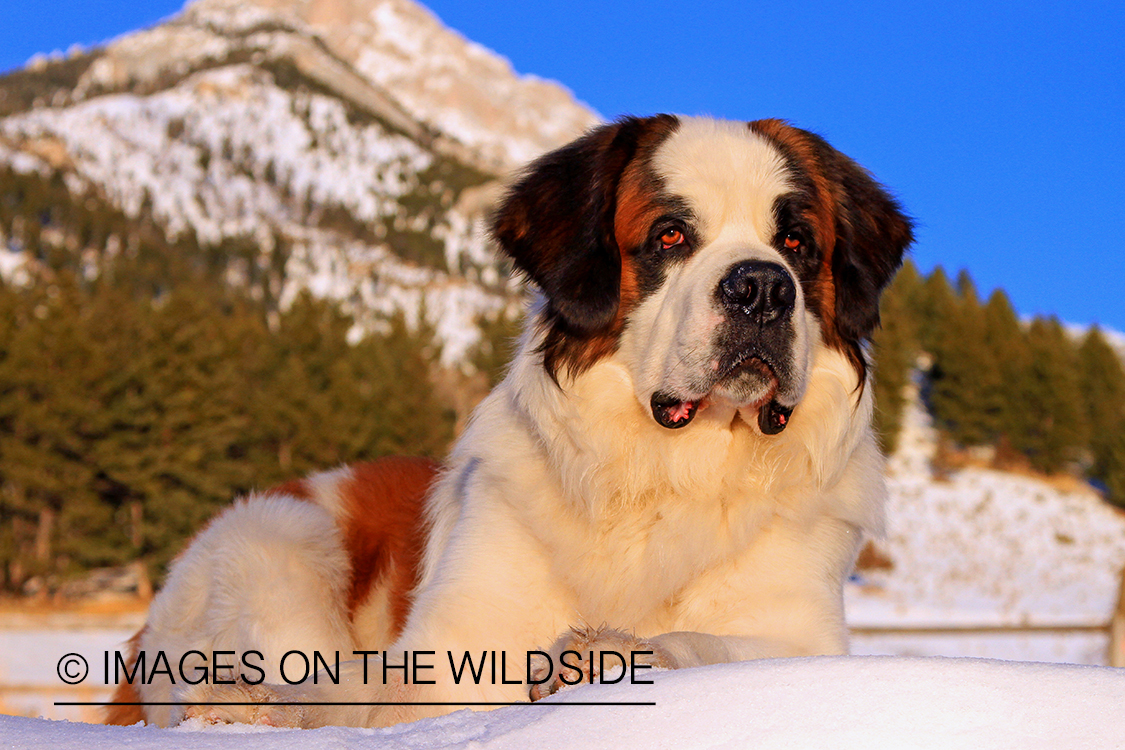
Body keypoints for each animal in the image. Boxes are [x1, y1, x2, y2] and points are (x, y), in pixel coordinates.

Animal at [105, 114, 913, 728]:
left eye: (797, 244)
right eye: (670, 237)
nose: (762, 289)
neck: (667, 469)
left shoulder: (802, 630)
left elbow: (715, 643)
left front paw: (608, 654)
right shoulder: (449, 647)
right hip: (281, 538)